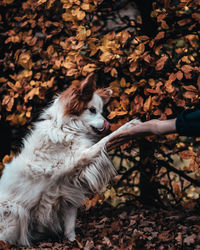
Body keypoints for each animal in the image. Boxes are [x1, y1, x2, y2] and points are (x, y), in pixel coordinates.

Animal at [0, 73, 140, 245]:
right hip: (15, 212)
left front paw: (73, 241)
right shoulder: (81, 156)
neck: (67, 127)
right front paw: (129, 125)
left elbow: (70, 224)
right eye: (92, 110)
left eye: (101, 111)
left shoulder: (68, 189)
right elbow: (106, 140)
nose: (108, 123)